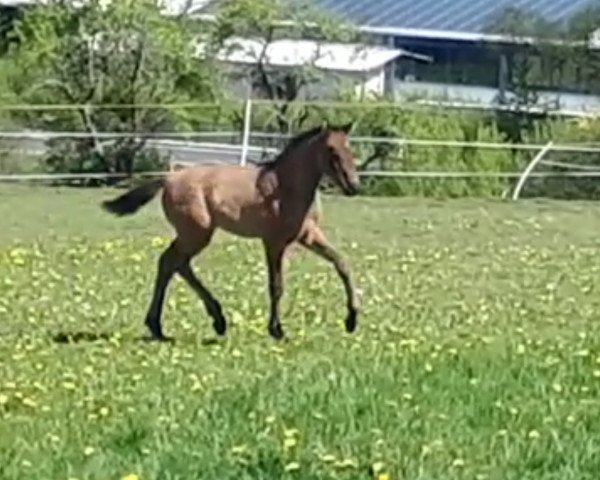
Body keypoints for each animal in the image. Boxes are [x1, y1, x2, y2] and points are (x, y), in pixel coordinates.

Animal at [102, 123, 360, 342]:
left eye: (350, 148)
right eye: (332, 151)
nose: (354, 186)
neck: (284, 188)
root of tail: (169, 178)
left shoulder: (308, 236)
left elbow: (342, 264)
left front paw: (352, 320)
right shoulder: (273, 242)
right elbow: (276, 285)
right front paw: (277, 330)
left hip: (194, 234)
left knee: (176, 264)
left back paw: (199, 322)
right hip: (196, 233)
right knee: (171, 262)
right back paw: (172, 324)